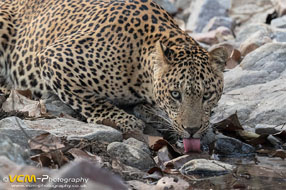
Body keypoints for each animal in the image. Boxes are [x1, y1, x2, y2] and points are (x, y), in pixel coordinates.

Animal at [0, 0, 228, 141]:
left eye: (207, 95)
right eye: (175, 94)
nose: (192, 131)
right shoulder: (55, 57)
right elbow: (90, 100)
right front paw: (125, 120)